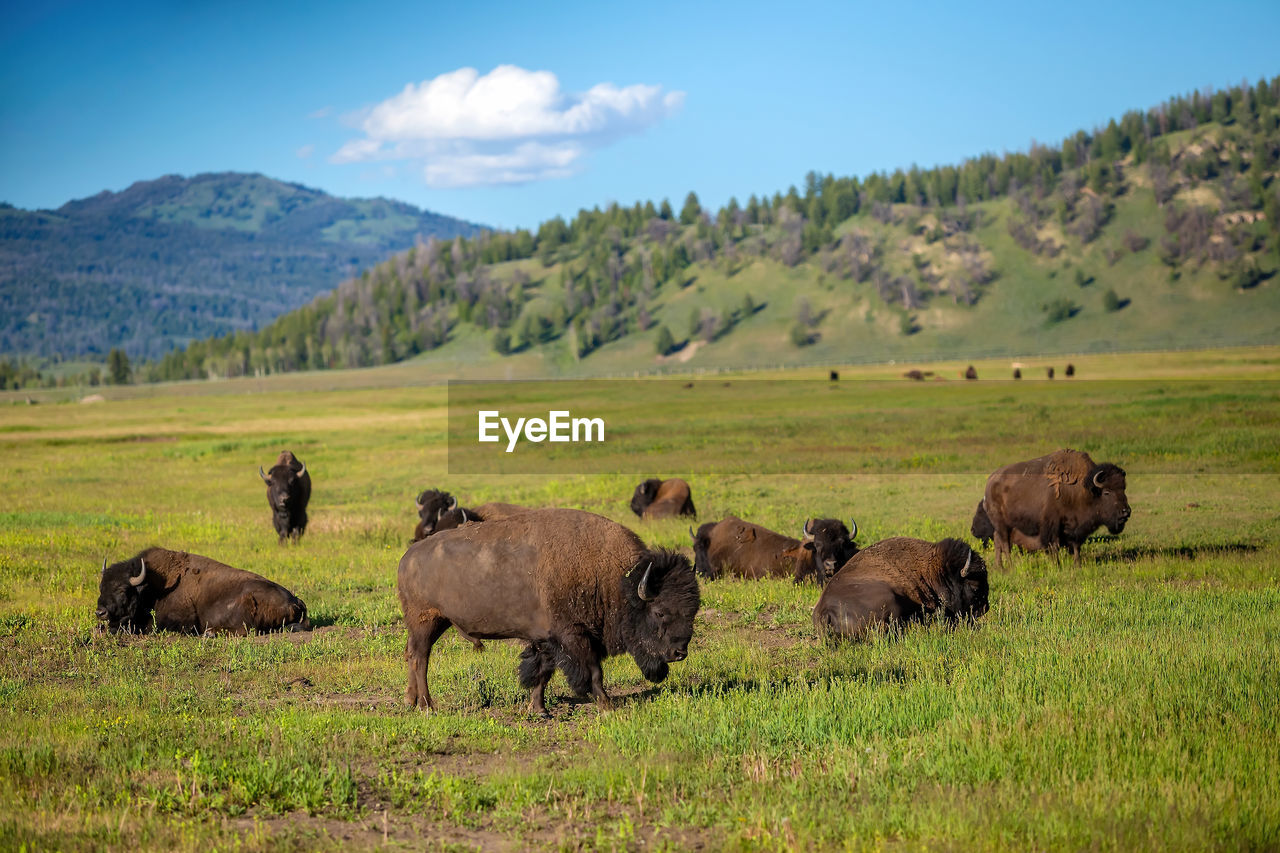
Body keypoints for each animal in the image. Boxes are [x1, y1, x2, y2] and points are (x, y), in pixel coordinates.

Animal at [94, 548, 309, 635]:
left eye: (123, 589)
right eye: (101, 586)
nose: (100, 612)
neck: (152, 587)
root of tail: (294, 600)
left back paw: (210, 634)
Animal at [396, 507, 701, 712]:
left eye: (693, 611)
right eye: (660, 612)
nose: (679, 653)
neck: (614, 578)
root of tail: (407, 557)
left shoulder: (546, 639)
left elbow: (542, 673)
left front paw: (539, 709)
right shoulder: (573, 636)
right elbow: (593, 672)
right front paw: (607, 705)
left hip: (435, 623)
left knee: (412, 654)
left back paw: (410, 701)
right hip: (426, 622)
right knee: (420, 658)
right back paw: (427, 705)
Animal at [977, 445, 1131, 571]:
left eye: (1124, 488)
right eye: (1107, 492)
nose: (1126, 512)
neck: (1084, 490)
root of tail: (990, 482)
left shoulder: (1076, 527)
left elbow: (1076, 546)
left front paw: (1077, 565)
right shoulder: (1052, 524)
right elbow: (1054, 546)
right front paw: (1057, 565)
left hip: (1003, 525)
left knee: (998, 541)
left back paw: (999, 567)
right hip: (1002, 524)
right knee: (1005, 543)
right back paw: (1011, 565)